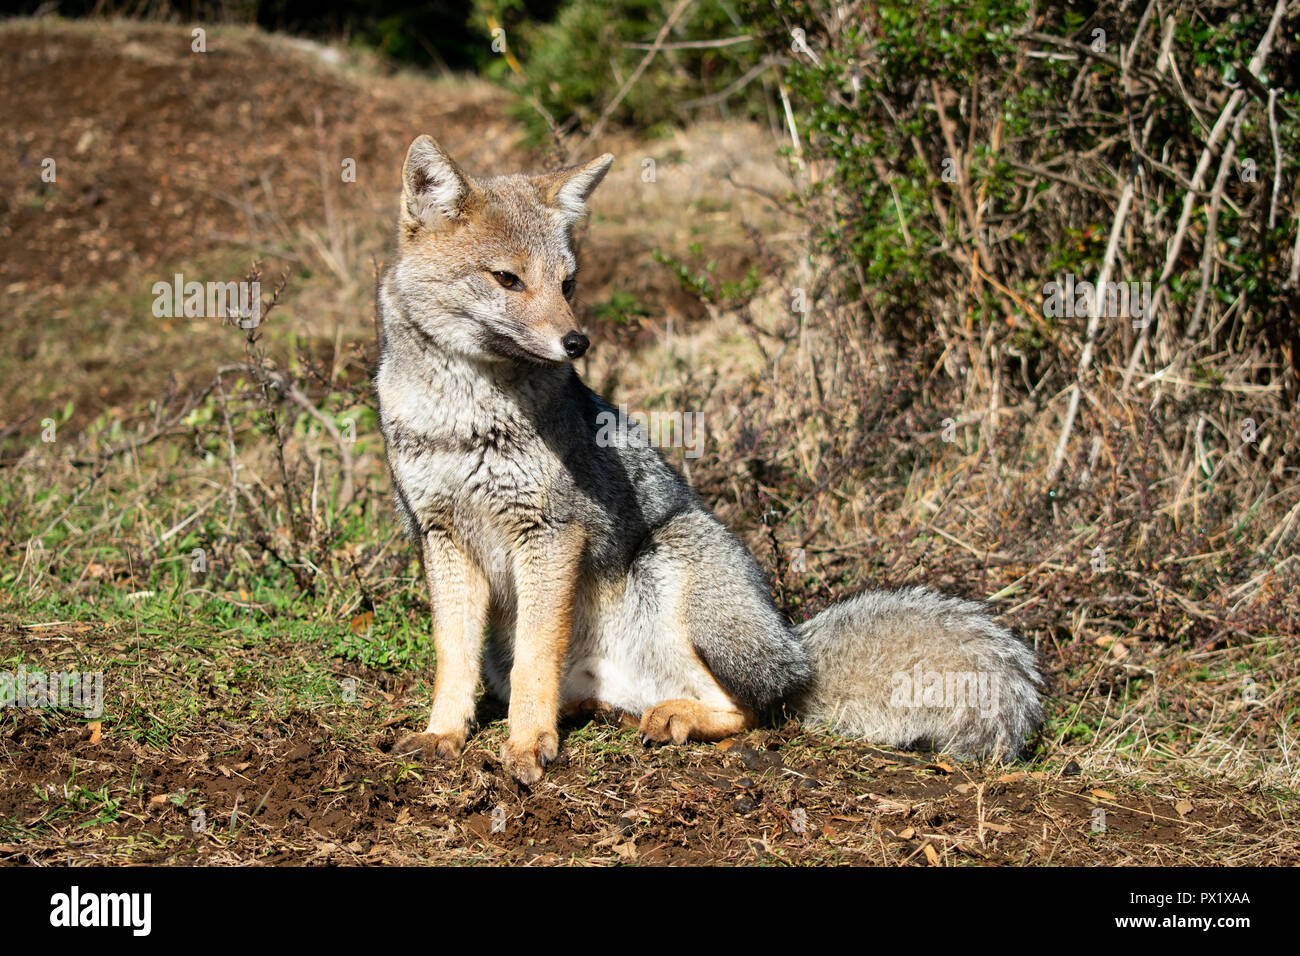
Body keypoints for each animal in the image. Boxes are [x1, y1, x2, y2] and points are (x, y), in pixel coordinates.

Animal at [379, 136, 1045, 785]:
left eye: (567, 284)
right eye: (507, 279)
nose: (577, 342)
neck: (463, 420)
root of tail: (796, 651)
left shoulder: (551, 532)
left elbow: (535, 664)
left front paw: (524, 745)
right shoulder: (441, 536)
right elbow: (453, 658)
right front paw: (443, 734)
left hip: (671, 570)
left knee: (754, 710)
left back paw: (673, 716)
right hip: (522, 640)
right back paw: (597, 710)